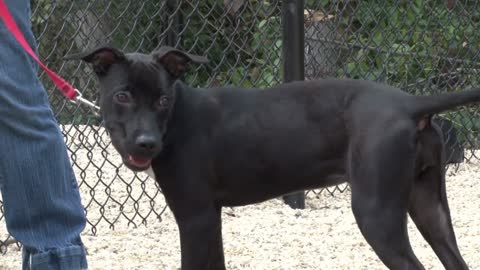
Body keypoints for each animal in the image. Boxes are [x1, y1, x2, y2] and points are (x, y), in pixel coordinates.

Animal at [69, 45, 478, 268]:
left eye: (163, 99)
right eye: (122, 96)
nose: (146, 144)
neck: (176, 121)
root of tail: (411, 104)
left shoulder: (194, 217)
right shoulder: (209, 218)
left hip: (376, 211)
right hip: (428, 205)